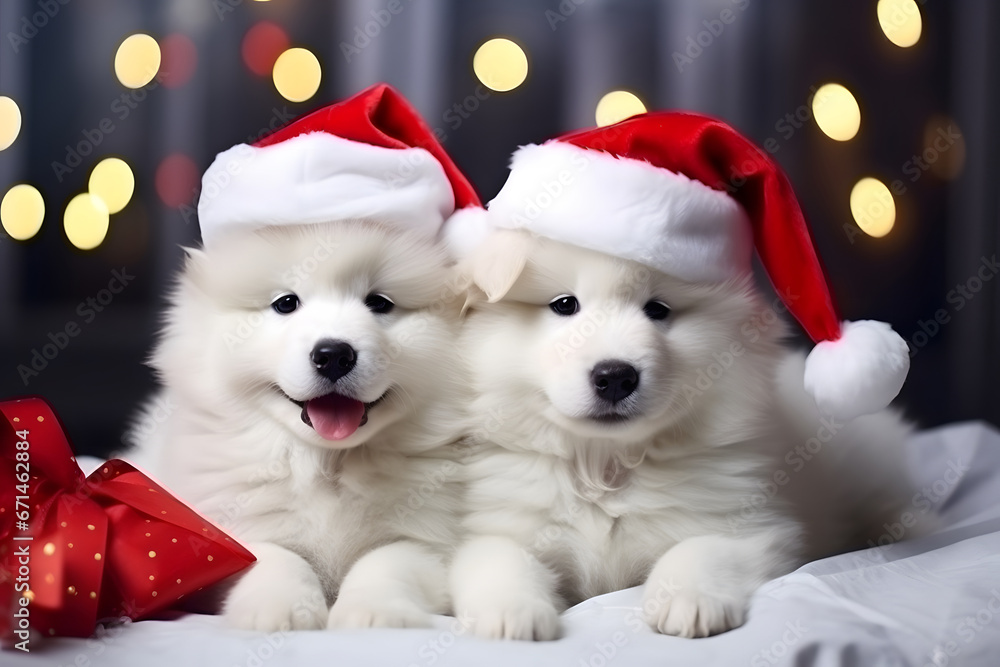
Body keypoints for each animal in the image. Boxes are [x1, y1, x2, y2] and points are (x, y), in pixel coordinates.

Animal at [127, 223, 466, 632]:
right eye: (286, 303)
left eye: (380, 303)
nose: (334, 355)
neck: (327, 464)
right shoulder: (225, 532)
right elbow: (274, 557)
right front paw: (280, 609)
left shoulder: (430, 539)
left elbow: (386, 562)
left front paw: (372, 613)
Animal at [454, 231, 916, 640]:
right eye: (564, 305)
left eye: (657, 310)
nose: (615, 376)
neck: (605, 463)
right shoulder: (500, 523)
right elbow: (497, 557)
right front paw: (513, 614)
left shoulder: (751, 525)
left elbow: (701, 549)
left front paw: (687, 601)